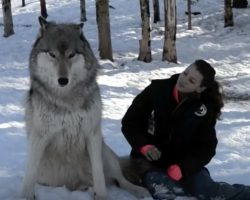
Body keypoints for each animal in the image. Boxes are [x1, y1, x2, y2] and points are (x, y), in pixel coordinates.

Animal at [21, 16, 148, 200]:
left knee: (119, 179)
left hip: (105, 152)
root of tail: (75, 184)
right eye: (52, 54)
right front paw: (26, 196)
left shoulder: (92, 134)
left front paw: (101, 196)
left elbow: (98, 173)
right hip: (46, 175)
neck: (66, 99)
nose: (63, 80)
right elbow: (29, 174)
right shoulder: (39, 137)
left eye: (71, 55)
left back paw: (139, 191)